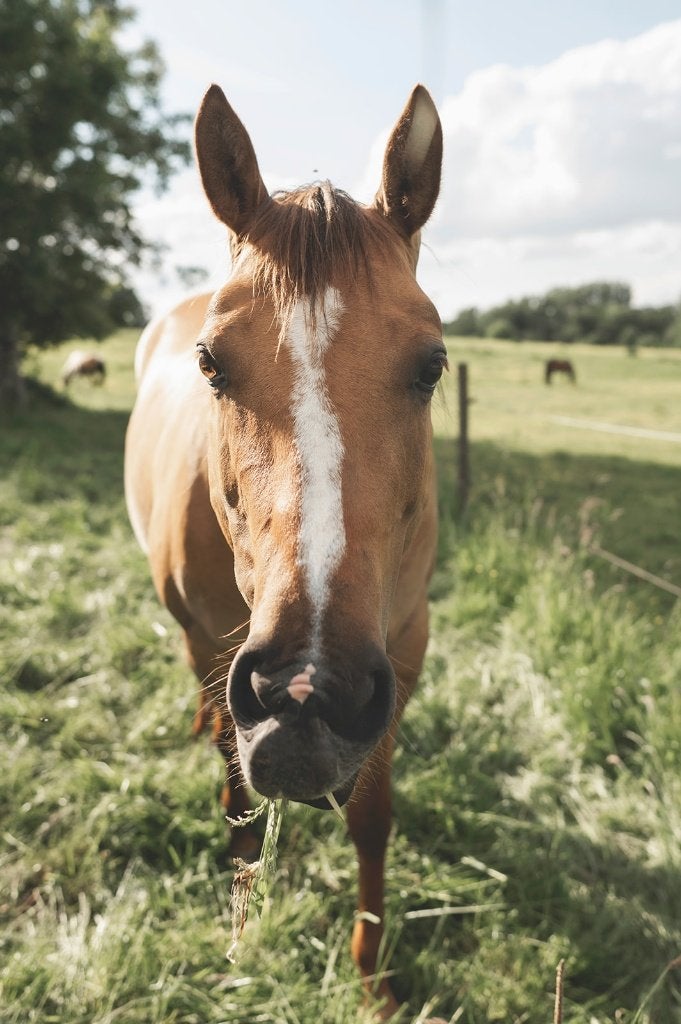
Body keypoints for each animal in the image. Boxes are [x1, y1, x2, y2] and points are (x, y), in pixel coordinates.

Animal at [124, 83, 444, 1020]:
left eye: (432, 364)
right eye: (210, 364)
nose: (306, 692)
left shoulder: (402, 649)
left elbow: (372, 816)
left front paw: (373, 977)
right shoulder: (217, 645)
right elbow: (235, 793)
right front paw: (237, 915)